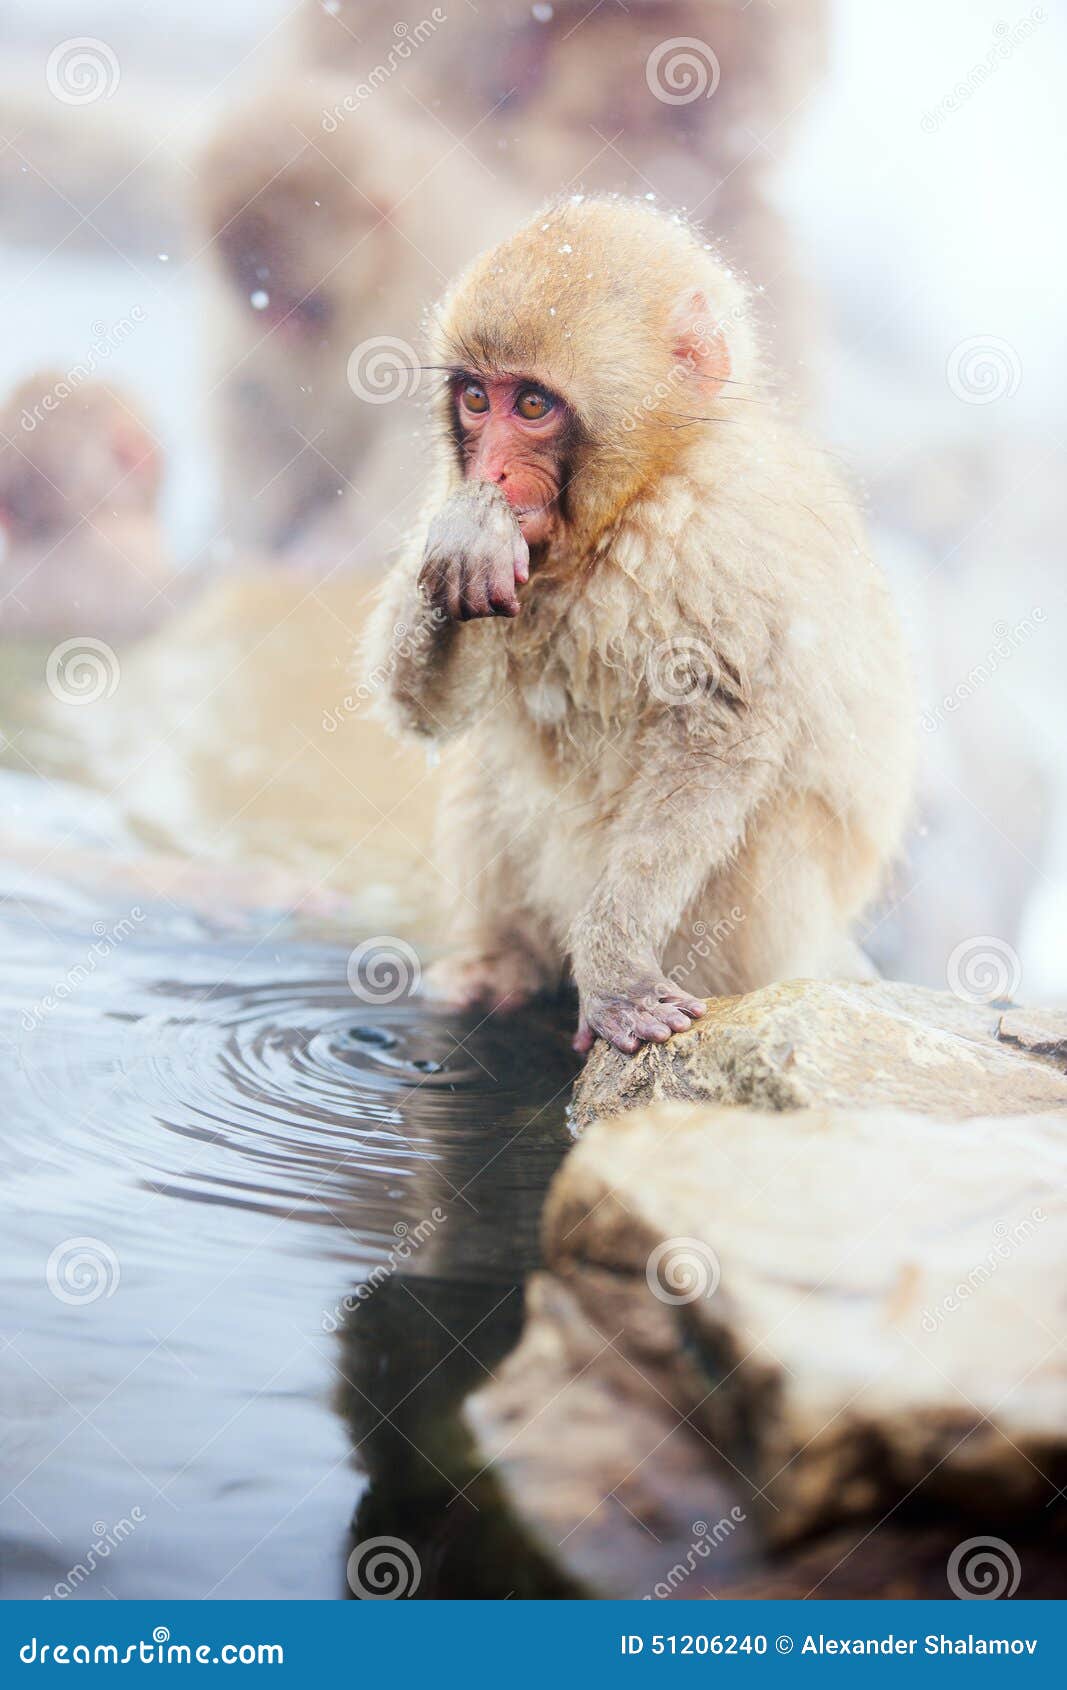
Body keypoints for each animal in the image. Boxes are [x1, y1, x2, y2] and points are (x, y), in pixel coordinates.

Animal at [363, 194, 913, 1041]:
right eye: (476, 399)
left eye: (532, 405)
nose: (490, 471)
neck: (631, 501)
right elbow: (428, 712)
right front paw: (464, 543)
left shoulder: (720, 544)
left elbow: (716, 737)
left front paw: (616, 966)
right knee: (489, 770)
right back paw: (502, 970)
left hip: (768, 937)